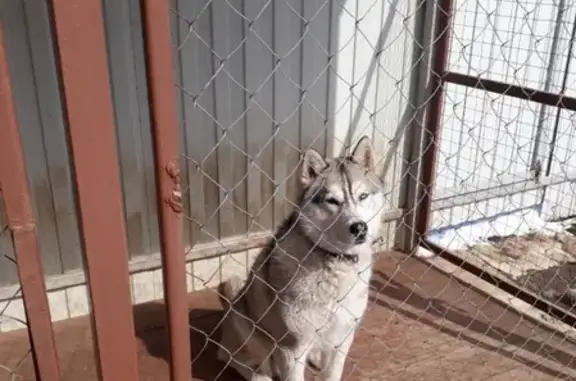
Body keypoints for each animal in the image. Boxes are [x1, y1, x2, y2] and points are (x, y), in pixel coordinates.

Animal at [215, 137, 382, 380]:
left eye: (363, 196)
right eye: (332, 201)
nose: (359, 227)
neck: (335, 262)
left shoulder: (343, 337)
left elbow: (333, 371)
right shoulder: (291, 349)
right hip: (245, 325)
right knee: (237, 358)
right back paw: (260, 374)